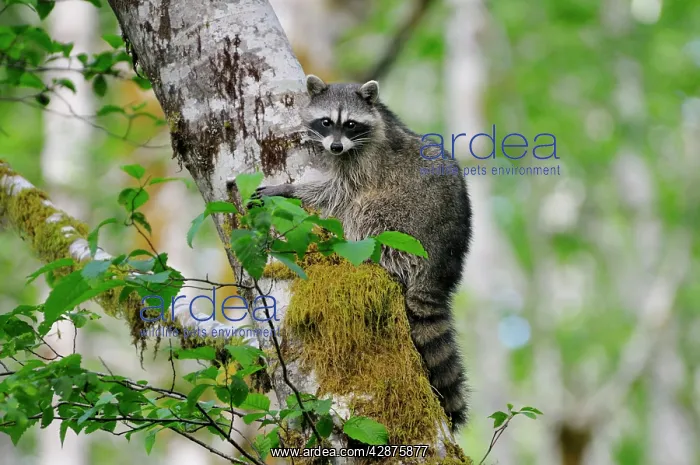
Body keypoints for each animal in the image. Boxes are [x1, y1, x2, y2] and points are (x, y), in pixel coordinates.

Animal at [256, 75, 472, 431]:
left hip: (403, 225)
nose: (334, 147)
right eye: (326, 122)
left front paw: (288, 189)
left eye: (351, 124)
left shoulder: (366, 163)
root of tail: (440, 269)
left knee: (364, 211)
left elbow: (337, 193)